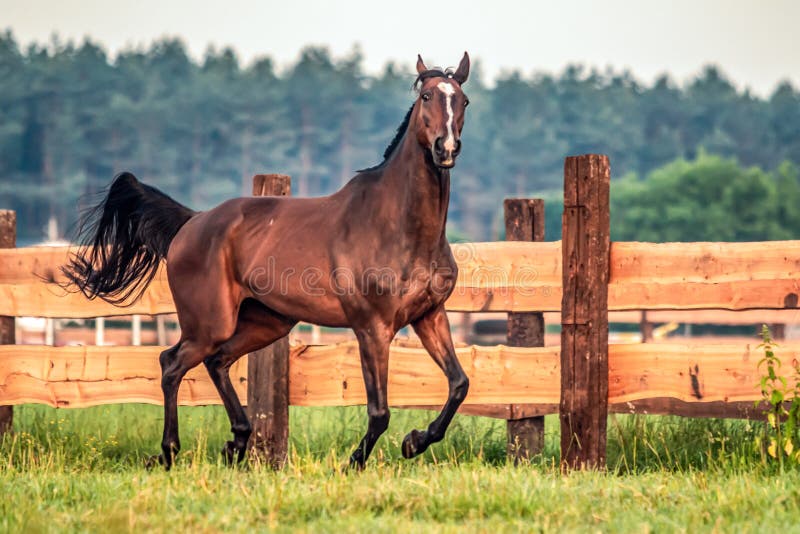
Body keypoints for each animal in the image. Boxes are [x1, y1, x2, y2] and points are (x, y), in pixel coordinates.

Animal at [67, 52, 476, 472]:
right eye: (426, 96)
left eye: (463, 101)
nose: (446, 148)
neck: (397, 226)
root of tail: (192, 222)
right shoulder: (372, 327)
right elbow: (379, 412)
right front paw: (356, 461)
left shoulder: (429, 316)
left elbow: (459, 384)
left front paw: (415, 441)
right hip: (210, 323)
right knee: (172, 363)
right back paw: (169, 452)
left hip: (266, 321)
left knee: (216, 361)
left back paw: (236, 443)